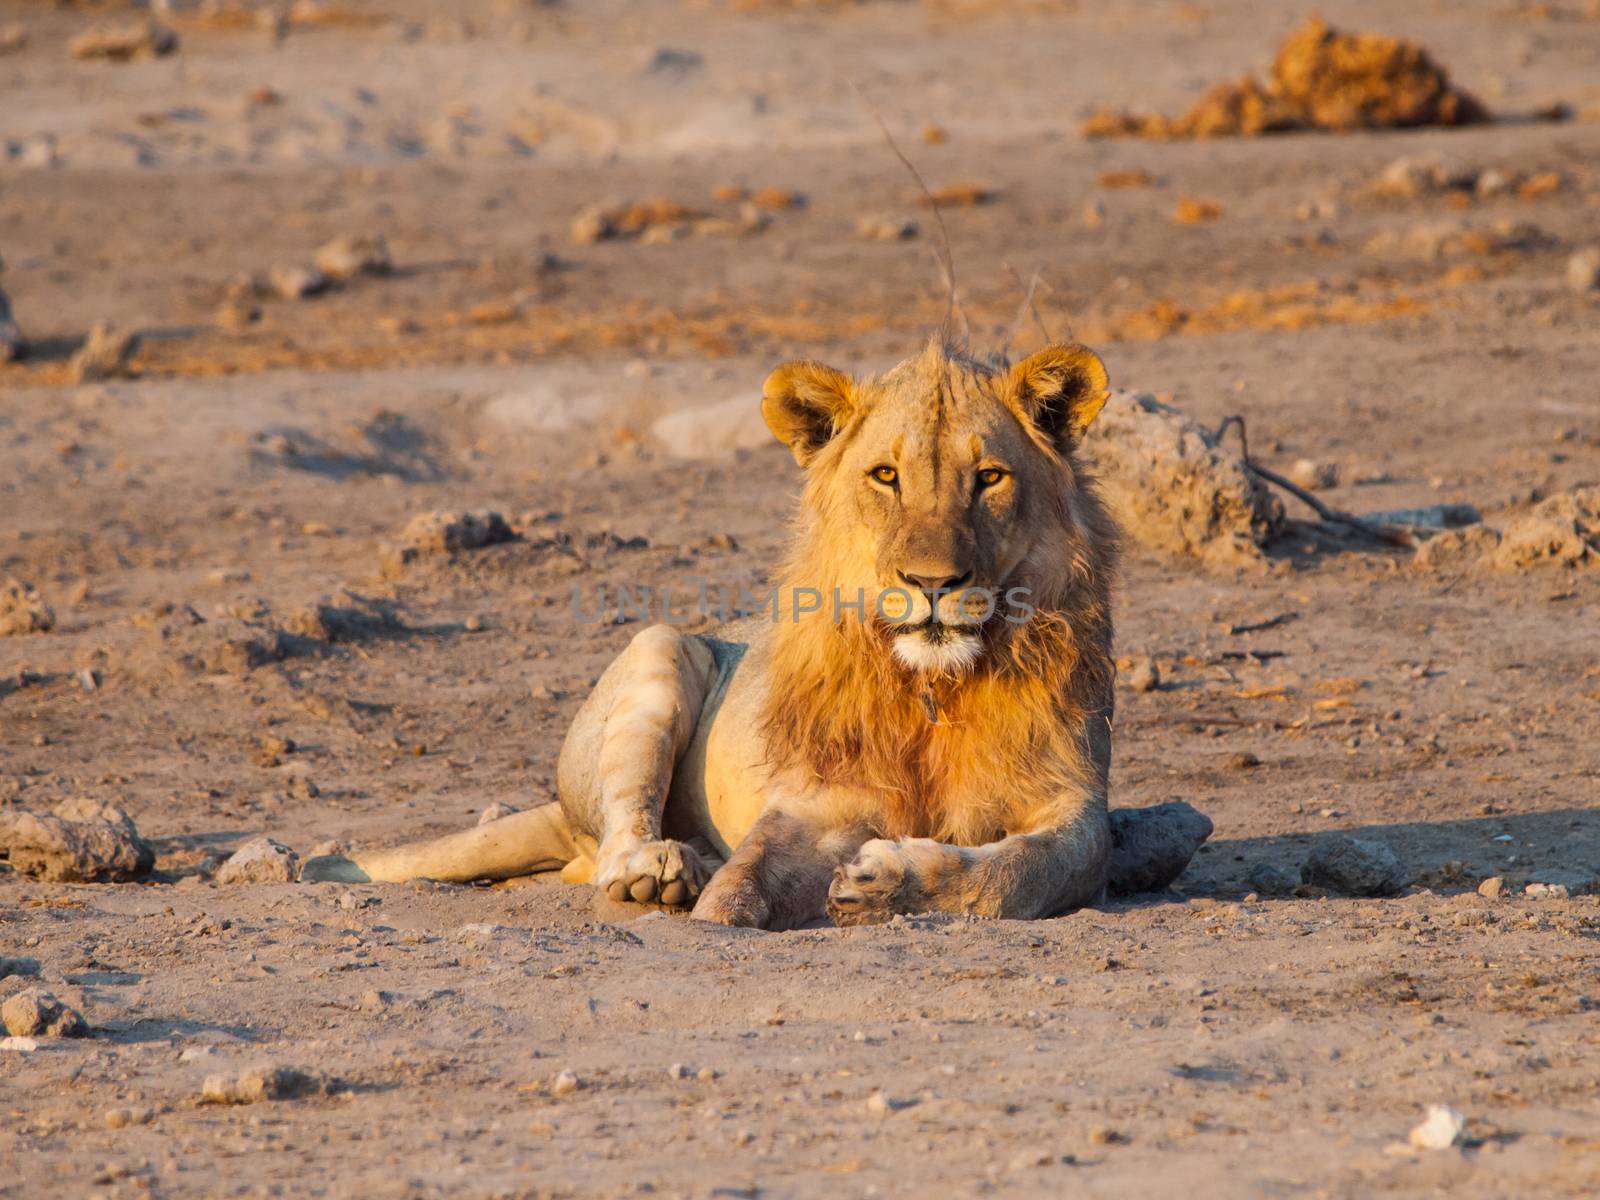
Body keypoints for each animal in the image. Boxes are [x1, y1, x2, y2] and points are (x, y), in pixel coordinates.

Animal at [305, 339, 1209, 928]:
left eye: (988, 477)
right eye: (886, 475)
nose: (931, 585)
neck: (932, 687)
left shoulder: (1073, 800)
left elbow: (1025, 870)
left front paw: (887, 880)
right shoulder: (814, 800)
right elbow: (745, 880)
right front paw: (719, 900)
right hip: (659, 650)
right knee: (613, 839)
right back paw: (663, 871)